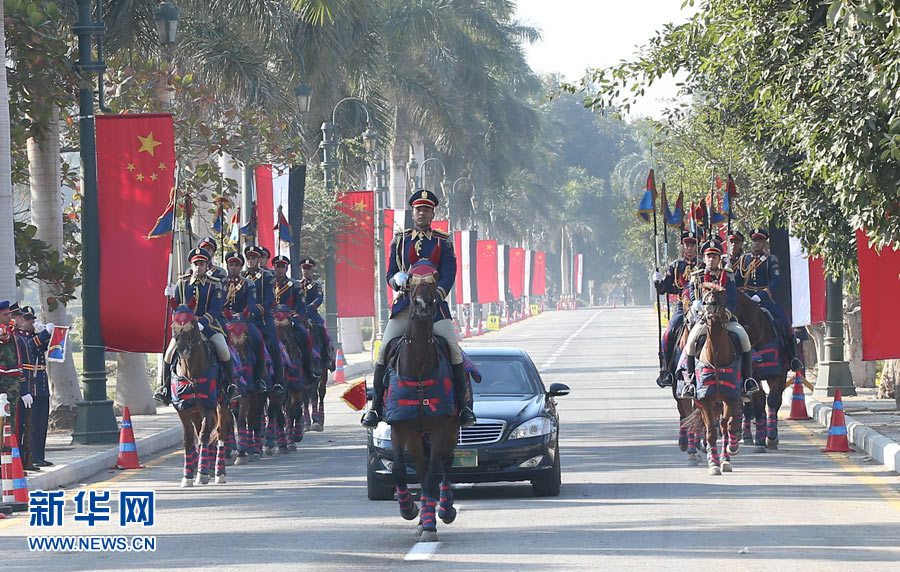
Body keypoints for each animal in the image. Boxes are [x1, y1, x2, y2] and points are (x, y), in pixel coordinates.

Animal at [170, 308, 232, 488]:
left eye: (192, 326)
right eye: (174, 326)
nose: (182, 350)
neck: (191, 371)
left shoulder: (208, 405)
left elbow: (205, 435)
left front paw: (203, 473)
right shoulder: (182, 408)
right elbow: (188, 439)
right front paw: (188, 475)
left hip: (222, 404)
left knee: (220, 433)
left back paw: (219, 472)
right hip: (195, 411)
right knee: (199, 432)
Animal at [384, 262, 460, 544]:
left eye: (434, 278)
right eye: (411, 281)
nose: (423, 305)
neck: (417, 365)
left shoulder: (441, 428)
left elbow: (431, 476)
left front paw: (429, 525)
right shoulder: (399, 427)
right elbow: (400, 471)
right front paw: (409, 509)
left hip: (452, 428)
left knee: (445, 464)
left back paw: (444, 509)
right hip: (416, 434)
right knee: (420, 464)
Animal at [684, 286, 744, 478]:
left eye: (721, 295)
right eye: (705, 296)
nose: (709, 307)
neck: (716, 355)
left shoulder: (732, 397)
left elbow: (729, 425)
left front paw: (732, 450)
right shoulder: (704, 401)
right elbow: (710, 432)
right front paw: (714, 465)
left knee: (725, 426)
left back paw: (726, 457)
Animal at [736, 288, 792, 450]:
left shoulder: (779, 374)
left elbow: (773, 400)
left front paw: (772, 437)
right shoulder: (753, 377)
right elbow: (759, 402)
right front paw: (761, 438)